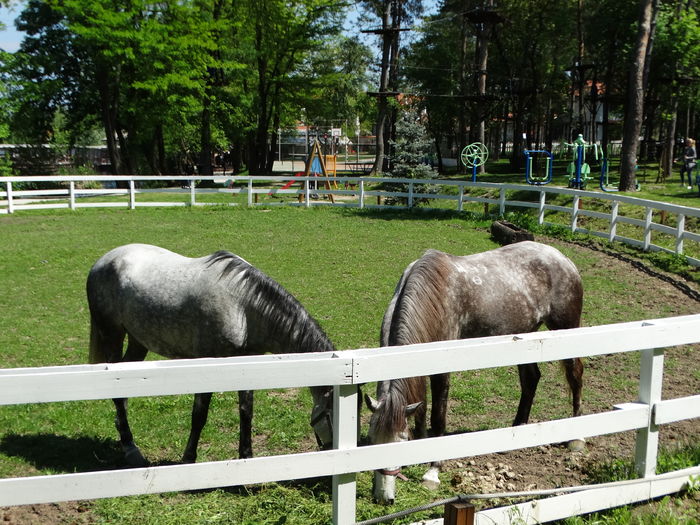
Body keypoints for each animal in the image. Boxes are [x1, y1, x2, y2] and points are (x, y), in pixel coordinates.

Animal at [88, 244, 336, 464]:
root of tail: (102, 261)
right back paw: (130, 448)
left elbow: (246, 412)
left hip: (138, 341)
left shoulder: (247, 365)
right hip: (112, 335)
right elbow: (199, 416)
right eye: (333, 415)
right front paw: (188, 458)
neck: (242, 308)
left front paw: (246, 457)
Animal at [366, 242, 584, 504]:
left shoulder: (442, 369)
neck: (434, 297)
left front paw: (433, 471)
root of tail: (562, 258)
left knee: (575, 375)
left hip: (566, 329)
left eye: (400, 441)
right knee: (531, 379)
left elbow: (438, 416)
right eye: (371, 441)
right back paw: (517, 429)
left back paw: (577, 437)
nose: (382, 497)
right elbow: (421, 411)